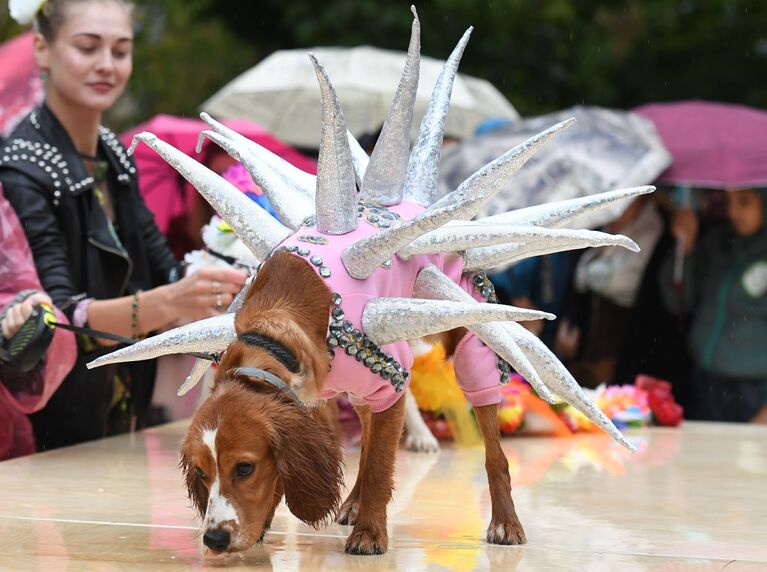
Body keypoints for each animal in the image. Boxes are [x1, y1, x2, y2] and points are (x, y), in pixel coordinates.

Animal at [183, 251, 524, 556]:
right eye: (200, 472)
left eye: (244, 468)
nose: (214, 539)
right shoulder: (312, 405)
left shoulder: (390, 388)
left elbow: (378, 468)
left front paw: (369, 534)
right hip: (359, 395)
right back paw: (354, 503)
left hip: (472, 335)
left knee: (495, 453)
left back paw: (506, 523)